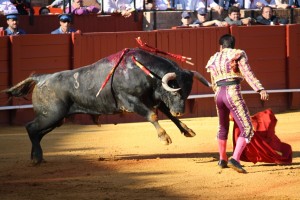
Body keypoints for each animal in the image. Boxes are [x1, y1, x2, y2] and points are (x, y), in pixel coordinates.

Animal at [2, 48, 211, 164]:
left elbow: (168, 114)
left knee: (36, 132)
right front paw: (164, 137)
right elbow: (152, 116)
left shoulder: (155, 99)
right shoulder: (131, 100)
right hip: (51, 115)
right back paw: (36, 158)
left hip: (56, 119)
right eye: (175, 91)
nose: (181, 111)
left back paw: (36, 157)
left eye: (187, 92)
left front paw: (187, 130)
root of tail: (41, 78)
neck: (146, 72)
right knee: (31, 128)